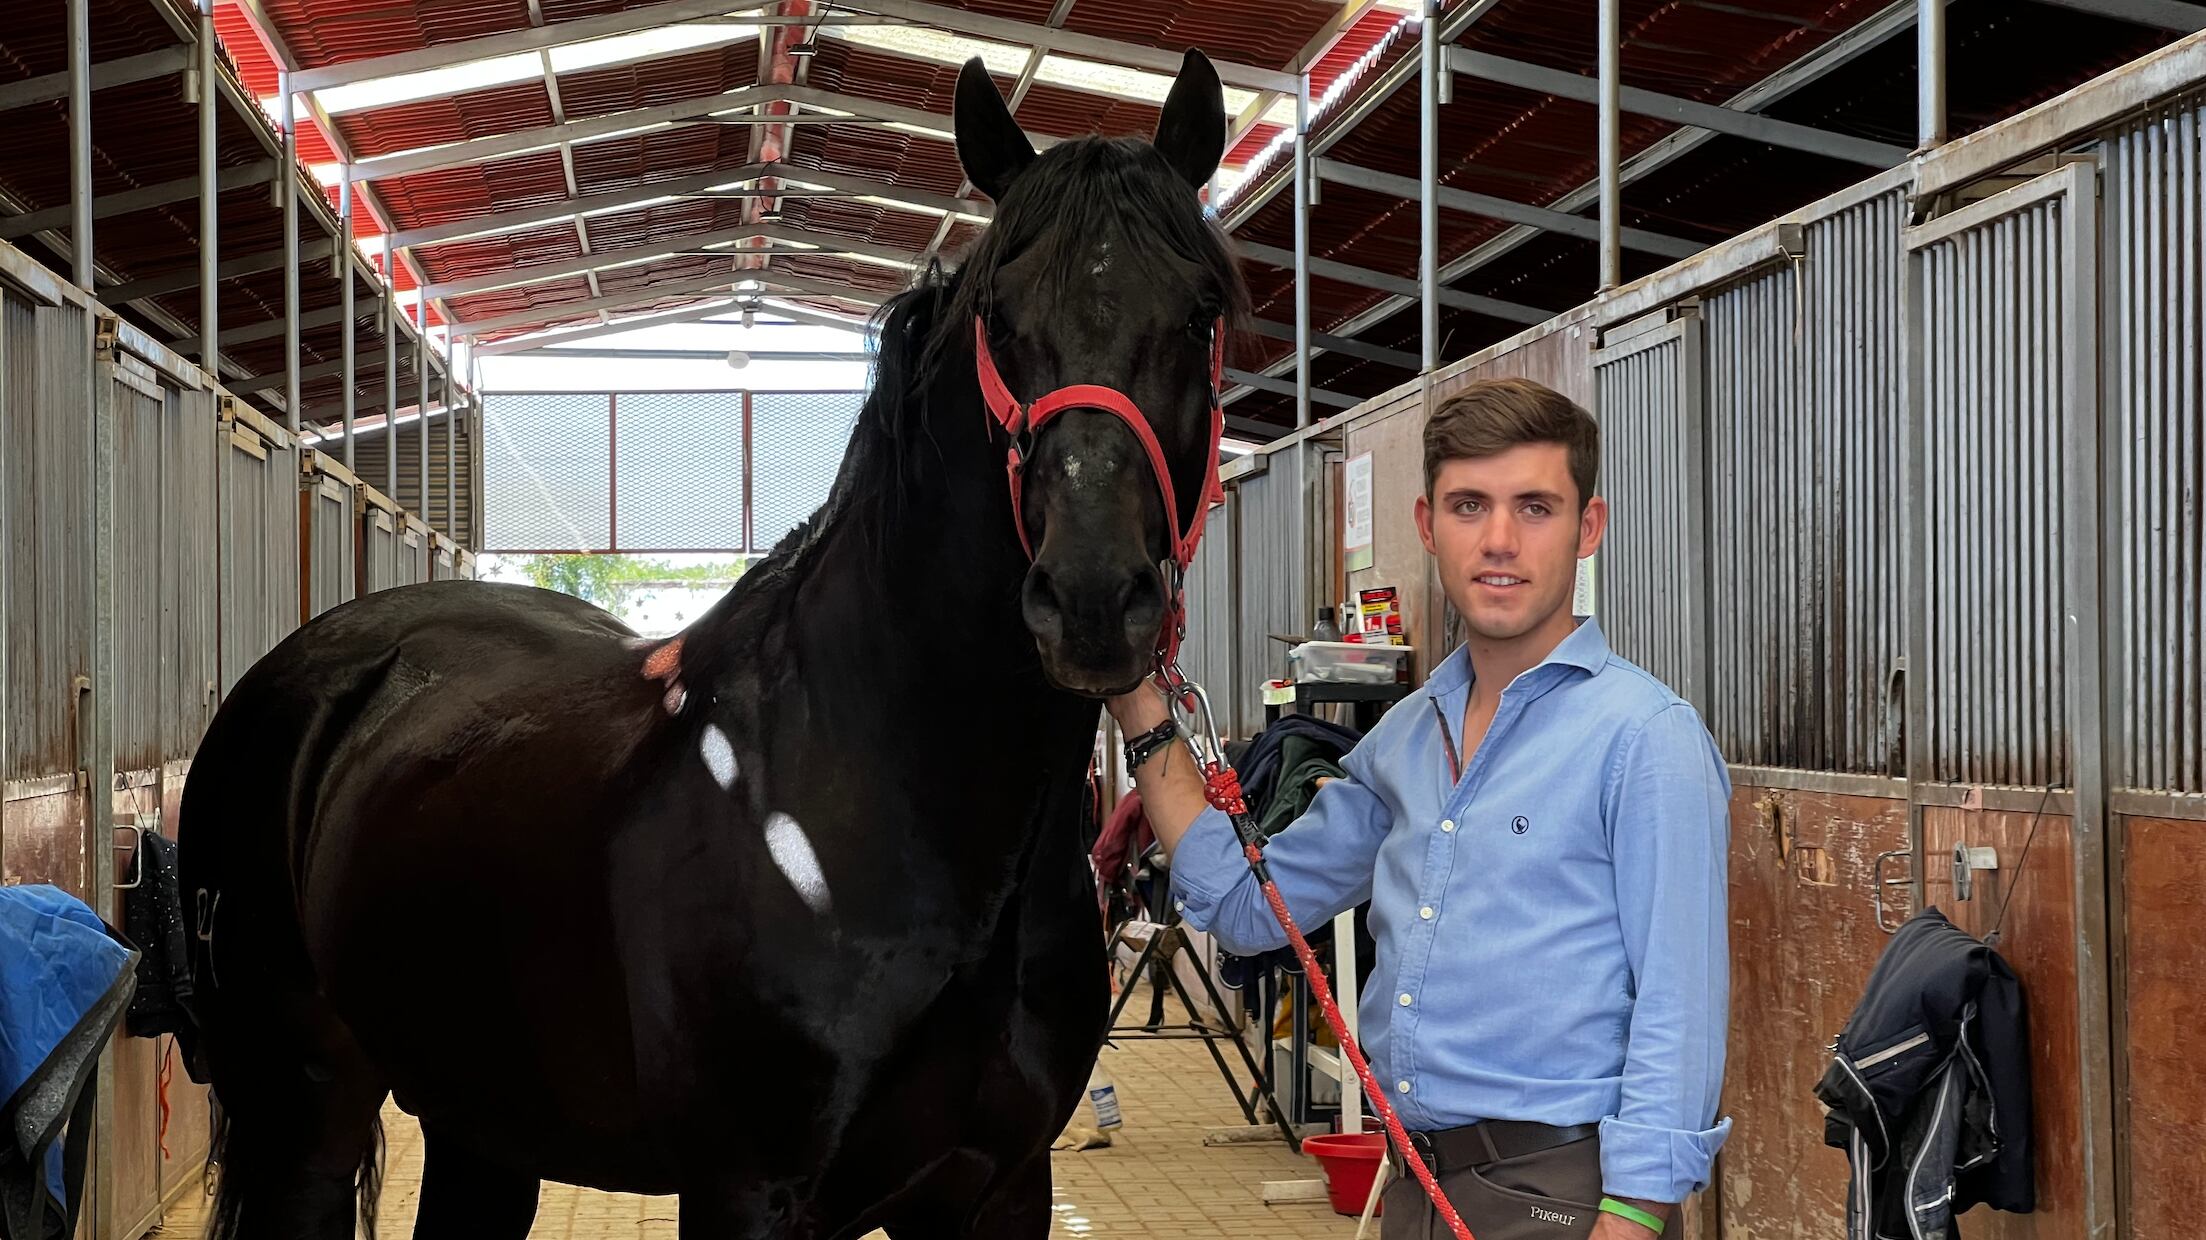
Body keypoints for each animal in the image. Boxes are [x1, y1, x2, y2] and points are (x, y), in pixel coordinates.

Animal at [175, 49, 1247, 1240]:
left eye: (1199, 310)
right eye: (1000, 316)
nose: (1094, 598)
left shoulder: (998, 1186)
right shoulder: (746, 1188)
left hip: (482, 1119)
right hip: (303, 1112)